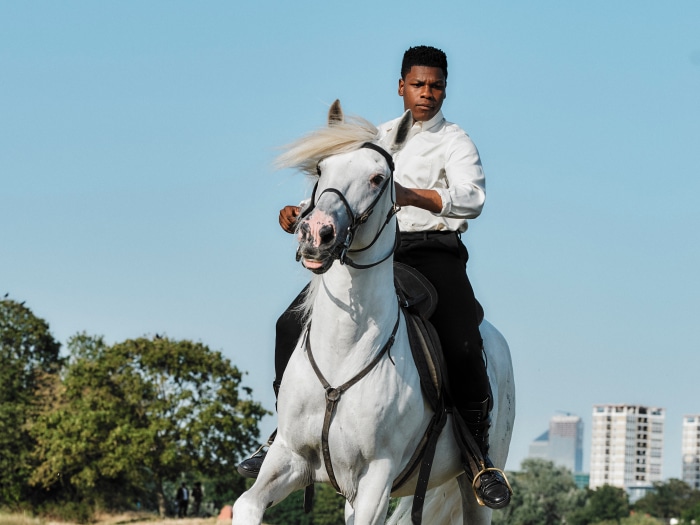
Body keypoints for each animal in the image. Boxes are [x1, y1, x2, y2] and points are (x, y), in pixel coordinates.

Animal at [231, 101, 515, 525]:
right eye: (321, 169)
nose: (316, 232)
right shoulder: (291, 459)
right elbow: (247, 504)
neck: (343, 352)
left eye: (378, 177)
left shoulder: (376, 476)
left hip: (470, 486)